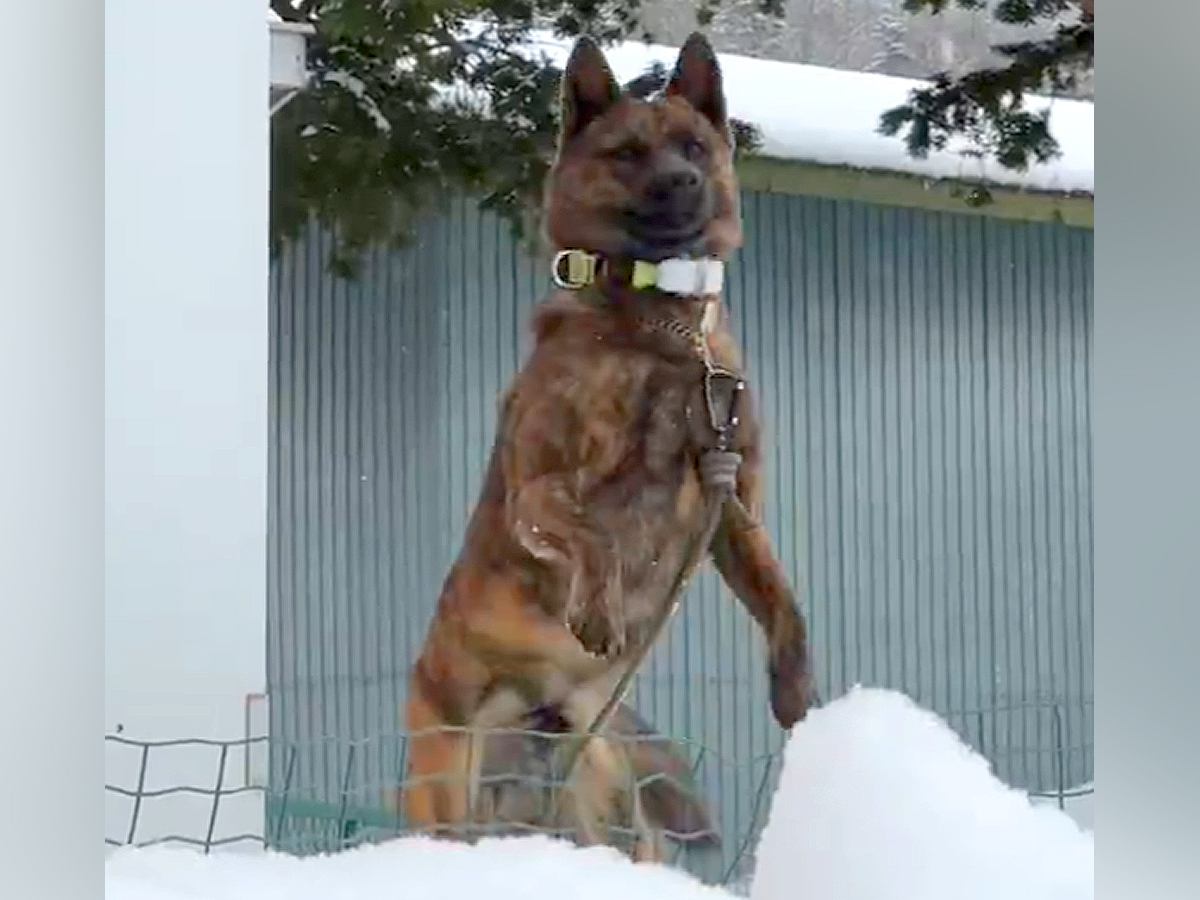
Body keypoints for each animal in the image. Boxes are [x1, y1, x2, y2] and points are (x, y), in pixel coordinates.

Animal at [400, 33, 816, 854]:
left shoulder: (731, 503)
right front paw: (599, 609)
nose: (684, 180)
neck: (664, 324)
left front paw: (796, 689)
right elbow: (591, 532)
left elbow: (783, 597)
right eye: (626, 153)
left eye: (693, 145)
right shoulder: (539, 485)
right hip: (446, 798)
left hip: (611, 807)